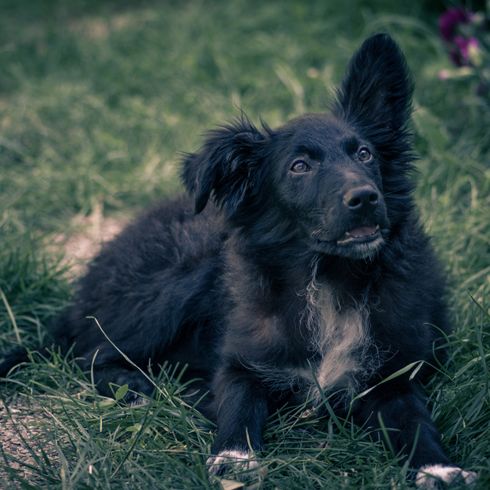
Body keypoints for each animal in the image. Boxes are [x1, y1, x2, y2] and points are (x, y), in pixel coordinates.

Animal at [0, 33, 474, 486]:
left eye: (364, 154)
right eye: (299, 167)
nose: (366, 198)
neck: (326, 277)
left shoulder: (393, 375)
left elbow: (416, 421)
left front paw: (438, 469)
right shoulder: (240, 362)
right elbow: (238, 405)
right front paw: (233, 458)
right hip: (176, 280)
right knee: (90, 356)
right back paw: (146, 386)